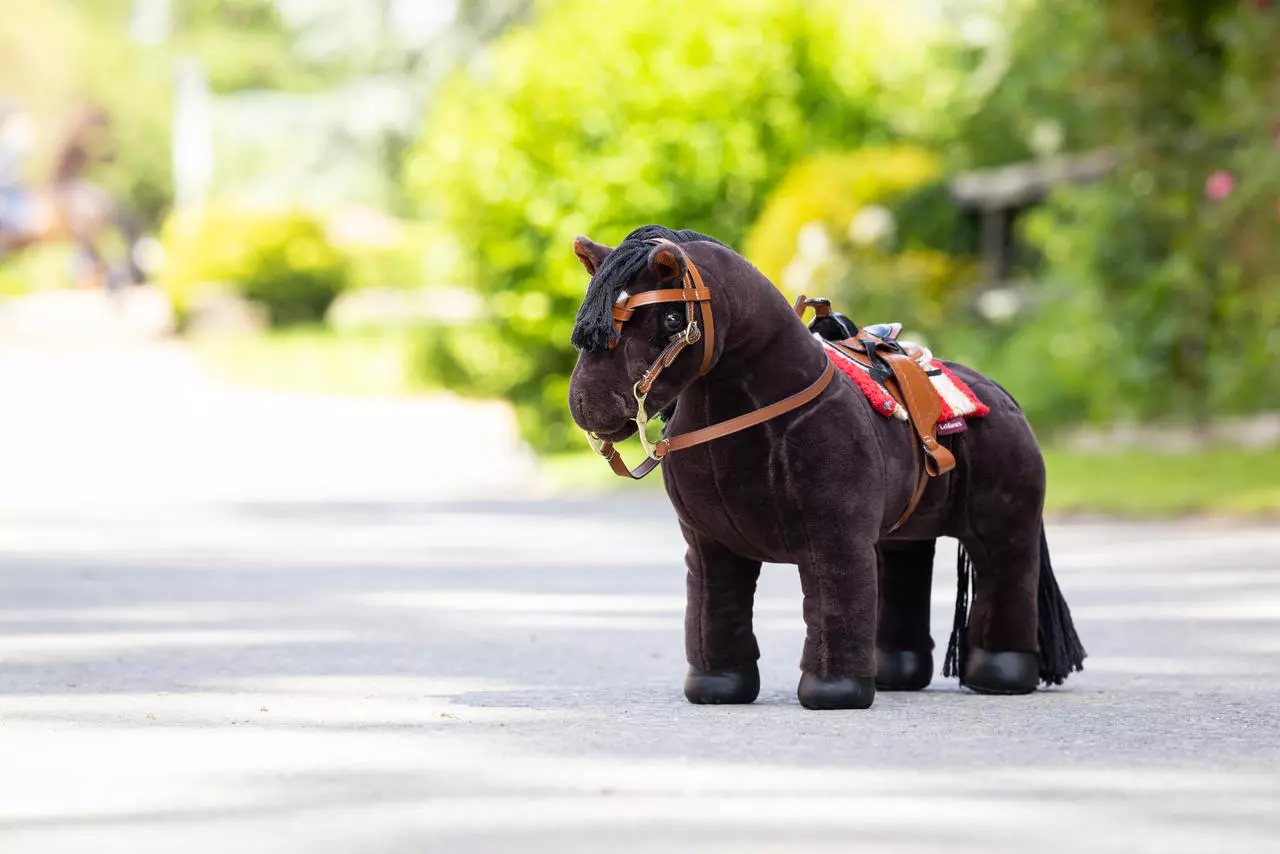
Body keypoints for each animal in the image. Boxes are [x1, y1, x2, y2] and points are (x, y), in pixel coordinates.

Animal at [567, 224, 1084, 710]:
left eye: (673, 317)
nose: (589, 406)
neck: (757, 418)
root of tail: (999, 393)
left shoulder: (835, 542)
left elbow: (836, 608)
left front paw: (836, 692)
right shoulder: (711, 548)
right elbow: (715, 611)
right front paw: (718, 687)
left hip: (1004, 525)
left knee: (1007, 575)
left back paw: (1000, 675)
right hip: (905, 535)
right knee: (905, 573)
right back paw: (894, 672)